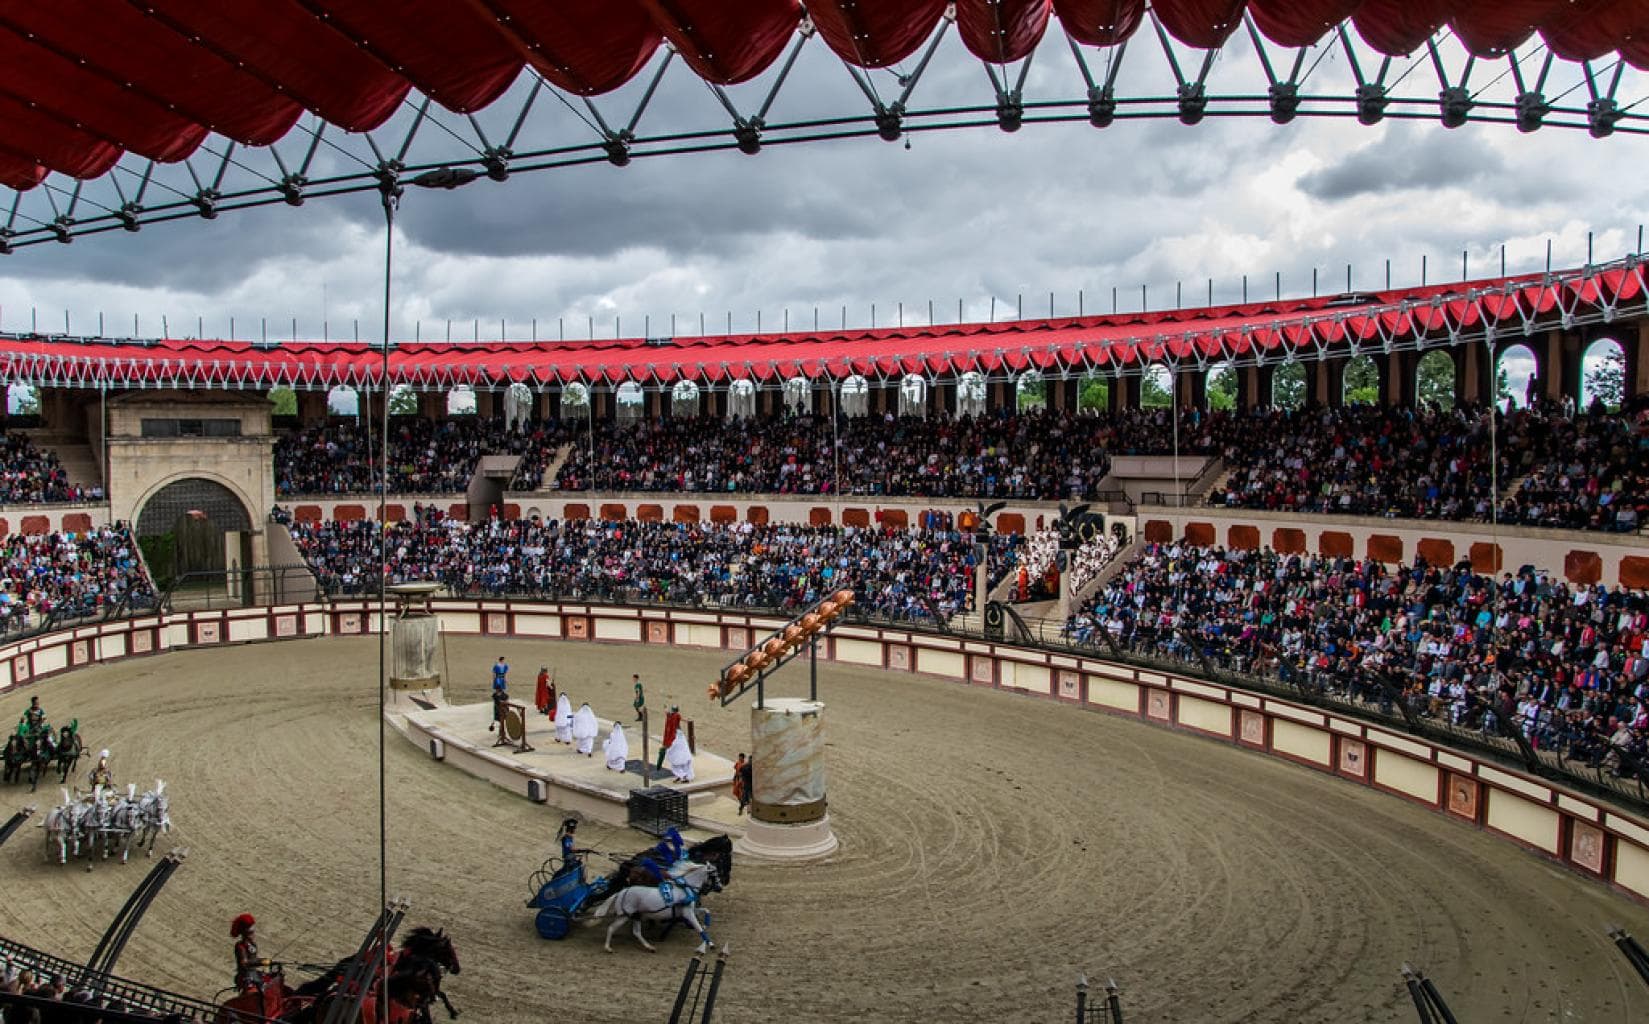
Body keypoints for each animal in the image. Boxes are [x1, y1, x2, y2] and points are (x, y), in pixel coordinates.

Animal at [593, 857, 722, 956]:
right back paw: (608, 948)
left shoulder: (689, 910)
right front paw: (710, 944)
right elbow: (699, 928)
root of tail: (623, 891)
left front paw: (706, 924)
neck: (685, 888)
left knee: (635, 932)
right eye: (715, 875)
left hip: (635, 916)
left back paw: (649, 947)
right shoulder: (688, 913)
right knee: (612, 928)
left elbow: (706, 911)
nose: (720, 888)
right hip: (625, 916)